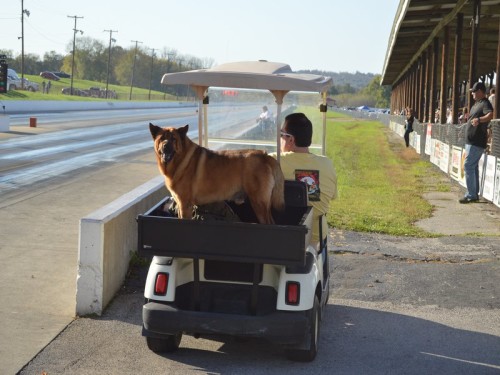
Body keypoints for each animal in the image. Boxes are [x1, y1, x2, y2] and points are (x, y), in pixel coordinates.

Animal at [148, 123, 286, 225]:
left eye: (173, 139)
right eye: (161, 138)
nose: (166, 146)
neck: (180, 159)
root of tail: (265, 156)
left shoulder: (184, 205)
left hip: (259, 202)